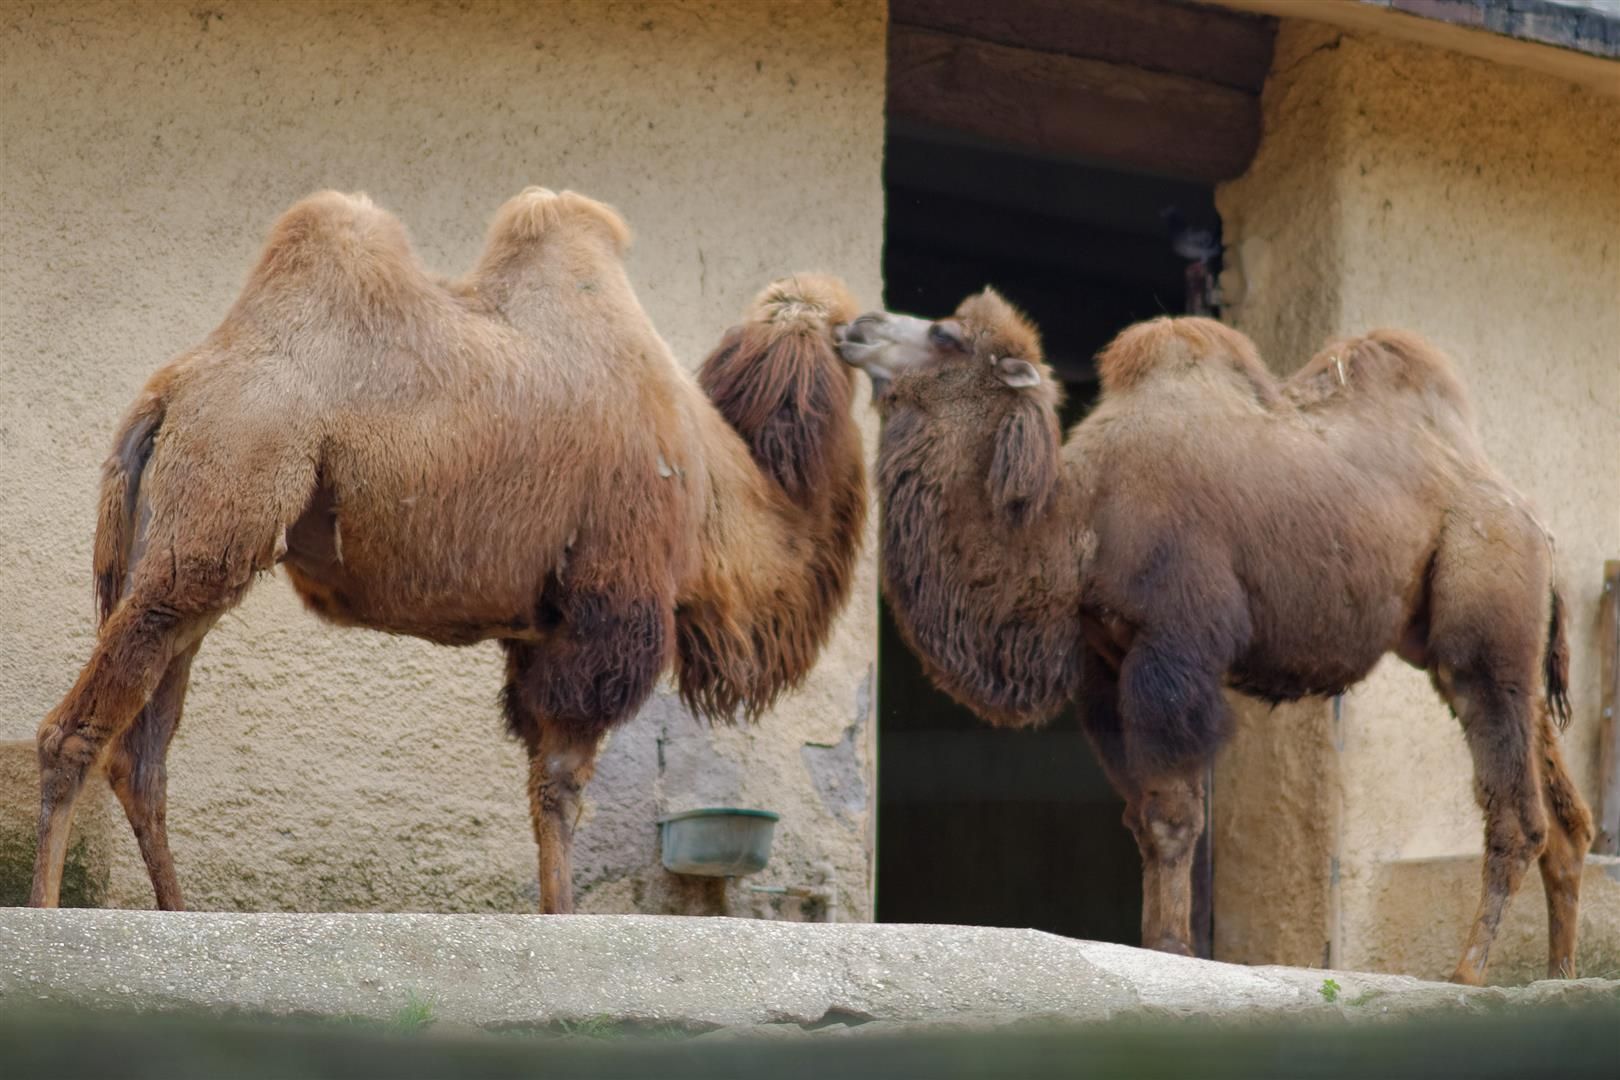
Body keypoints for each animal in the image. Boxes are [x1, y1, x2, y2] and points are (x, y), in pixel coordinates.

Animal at [28, 187, 867, 915]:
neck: (713, 495)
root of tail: (170, 391)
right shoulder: (606, 607)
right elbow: (561, 788)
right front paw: (563, 919)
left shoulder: (541, 633)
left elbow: (540, 784)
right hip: (226, 491)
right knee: (73, 736)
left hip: (185, 551)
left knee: (142, 755)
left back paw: (180, 915)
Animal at [837, 290, 1592, 985]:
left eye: (946, 336)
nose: (855, 327)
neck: (1077, 523)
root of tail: (1533, 518)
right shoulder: (1105, 670)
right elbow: (1142, 817)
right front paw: (1151, 944)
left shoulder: (1174, 647)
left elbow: (1173, 817)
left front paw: (1172, 950)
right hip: (1479, 641)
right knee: (1563, 816)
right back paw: (1558, 974)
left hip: (1485, 610)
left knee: (1515, 811)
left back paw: (1468, 974)